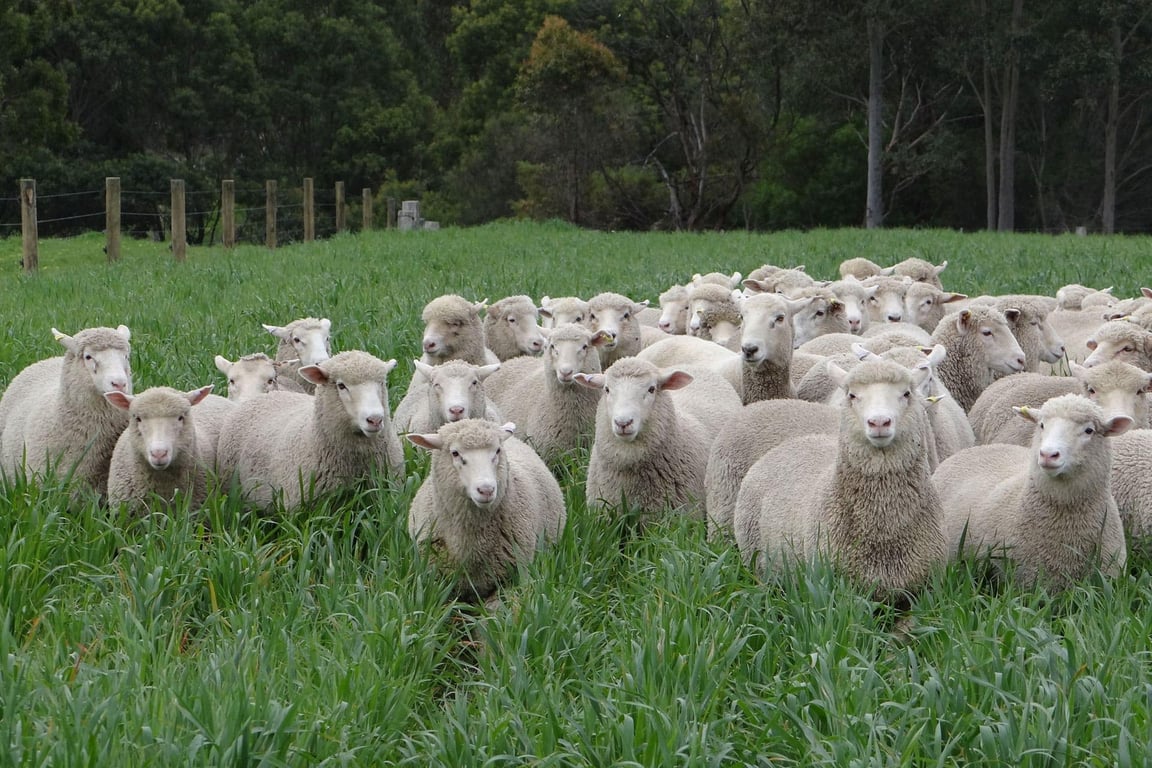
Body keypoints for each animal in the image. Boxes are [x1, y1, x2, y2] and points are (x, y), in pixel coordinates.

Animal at [733, 359, 946, 602]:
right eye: (851, 395)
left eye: (906, 393)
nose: (879, 422)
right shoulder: (837, 588)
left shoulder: (922, 591)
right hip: (756, 562)